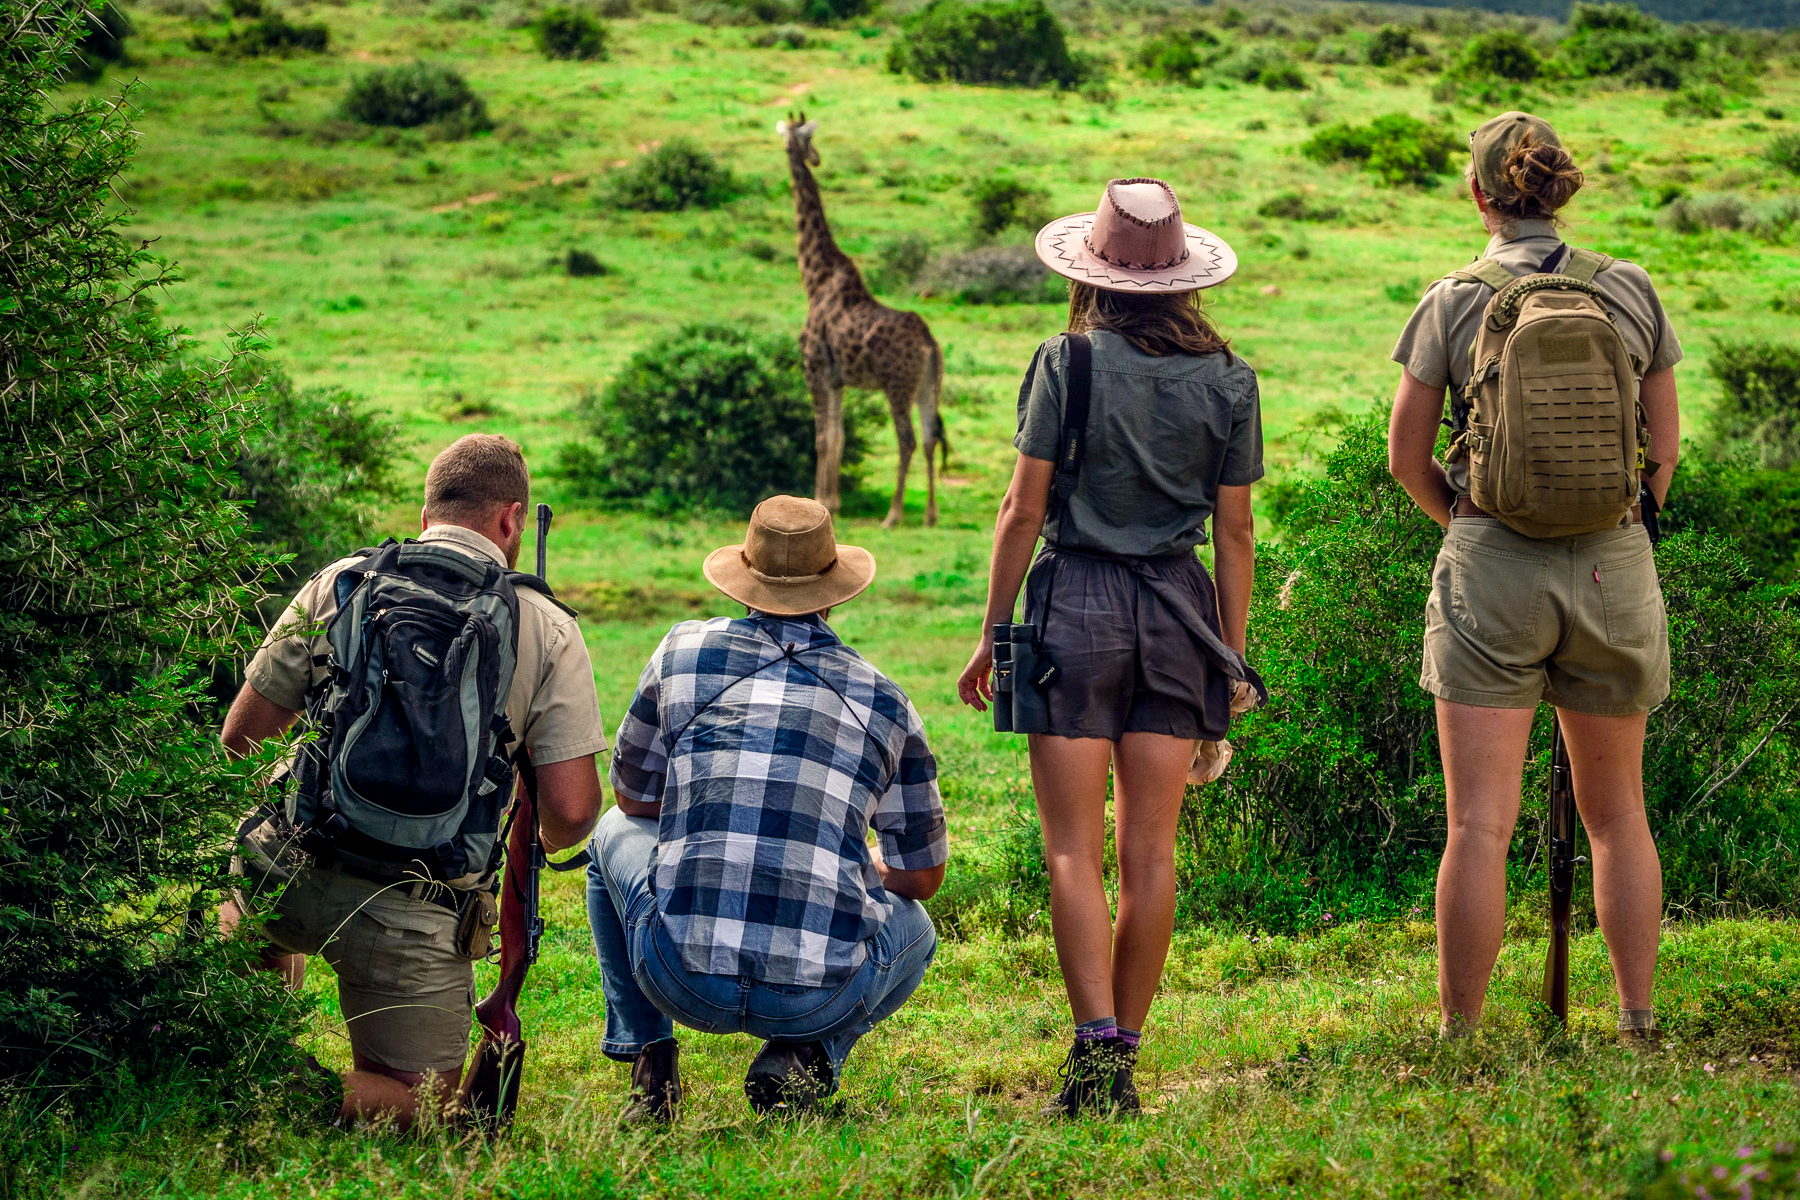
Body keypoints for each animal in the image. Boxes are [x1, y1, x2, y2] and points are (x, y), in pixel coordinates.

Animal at [778, 112, 945, 528]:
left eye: (807, 138)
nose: (816, 157)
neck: (814, 278)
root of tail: (929, 343)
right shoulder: (838, 379)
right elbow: (837, 436)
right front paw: (832, 502)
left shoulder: (815, 369)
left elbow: (822, 437)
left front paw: (820, 501)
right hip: (928, 384)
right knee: (930, 436)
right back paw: (930, 514)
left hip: (897, 386)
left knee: (908, 439)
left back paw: (894, 514)